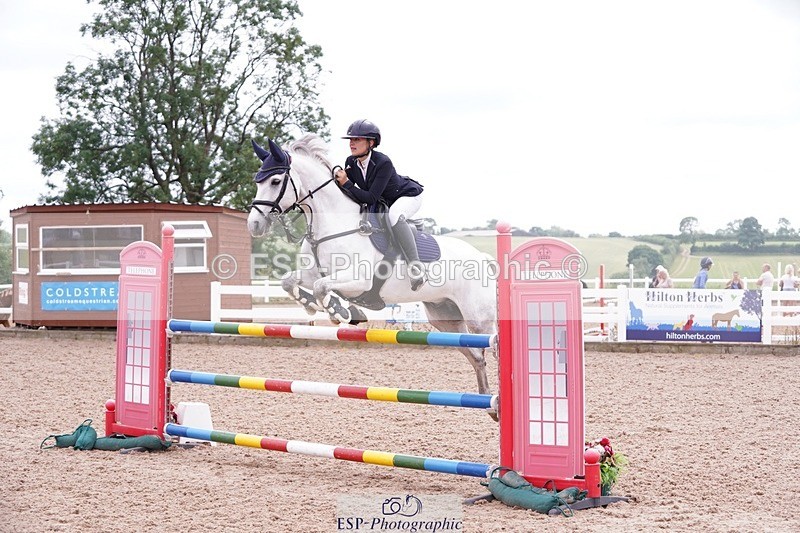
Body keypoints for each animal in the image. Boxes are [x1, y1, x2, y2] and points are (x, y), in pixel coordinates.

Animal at [246, 134, 497, 399]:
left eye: (275, 181)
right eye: (257, 181)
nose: (254, 225)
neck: (332, 225)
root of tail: (482, 257)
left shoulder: (359, 280)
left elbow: (322, 287)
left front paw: (340, 312)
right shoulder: (311, 274)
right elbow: (291, 282)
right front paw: (314, 305)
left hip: (478, 317)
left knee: (490, 345)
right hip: (444, 316)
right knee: (476, 355)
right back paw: (487, 399)